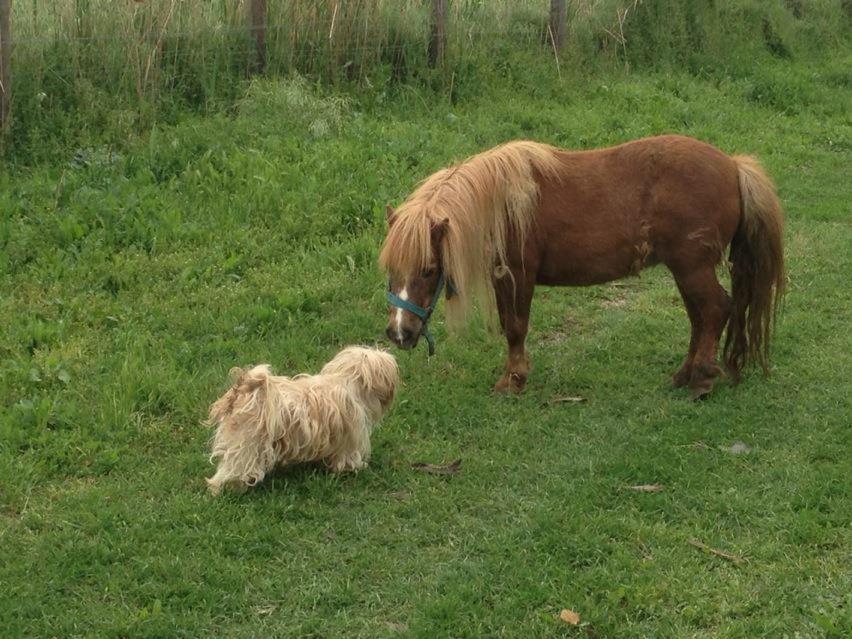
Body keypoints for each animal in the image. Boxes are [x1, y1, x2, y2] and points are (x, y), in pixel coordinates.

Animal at [205, 348, 398, 498]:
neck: (347, 379)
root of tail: (245, 391)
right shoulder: (349, 440)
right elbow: (346, 458)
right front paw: (354, 468)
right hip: (247, 447)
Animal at [380, 136, 784, 400]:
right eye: (390, 270)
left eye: (428, 269)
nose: (400, 333)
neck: (503, 204)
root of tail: (734, 166)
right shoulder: (502, 277)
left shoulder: (519, 275)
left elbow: (516, 328)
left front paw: (513, 379)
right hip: (686, 270)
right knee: (701, 318)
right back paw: (685, 374)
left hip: (693, 268)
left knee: (715, 310)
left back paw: (700, 378)